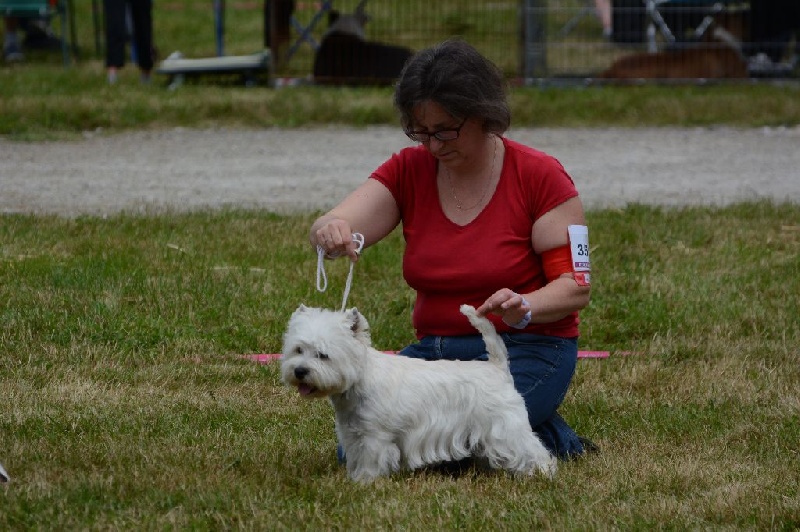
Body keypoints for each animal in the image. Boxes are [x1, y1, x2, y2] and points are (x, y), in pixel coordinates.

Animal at [282, 304, 556, 482]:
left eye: (323, 355)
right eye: (298, 349)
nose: (300, 371)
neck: (360, 379)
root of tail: (497, 368)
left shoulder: (375, 437)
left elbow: (371, 461)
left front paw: (365, 483)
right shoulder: (352, 433)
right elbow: (355, 458)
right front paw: (354, 479)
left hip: (506, 427)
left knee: (532, 449)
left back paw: (544, 474)